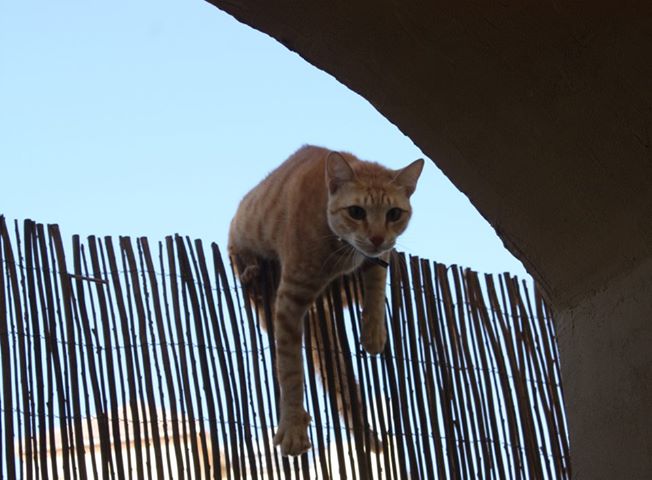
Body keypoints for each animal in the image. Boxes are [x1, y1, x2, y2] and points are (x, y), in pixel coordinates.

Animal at [228, 144, 422, 456]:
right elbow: (291, 369)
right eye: (356, 211)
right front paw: (293, 426)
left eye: (394, 213)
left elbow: (377, 281)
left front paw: (373, 332)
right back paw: (251, 271)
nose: (377, 237)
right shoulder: (289, 301)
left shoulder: (381, 256)